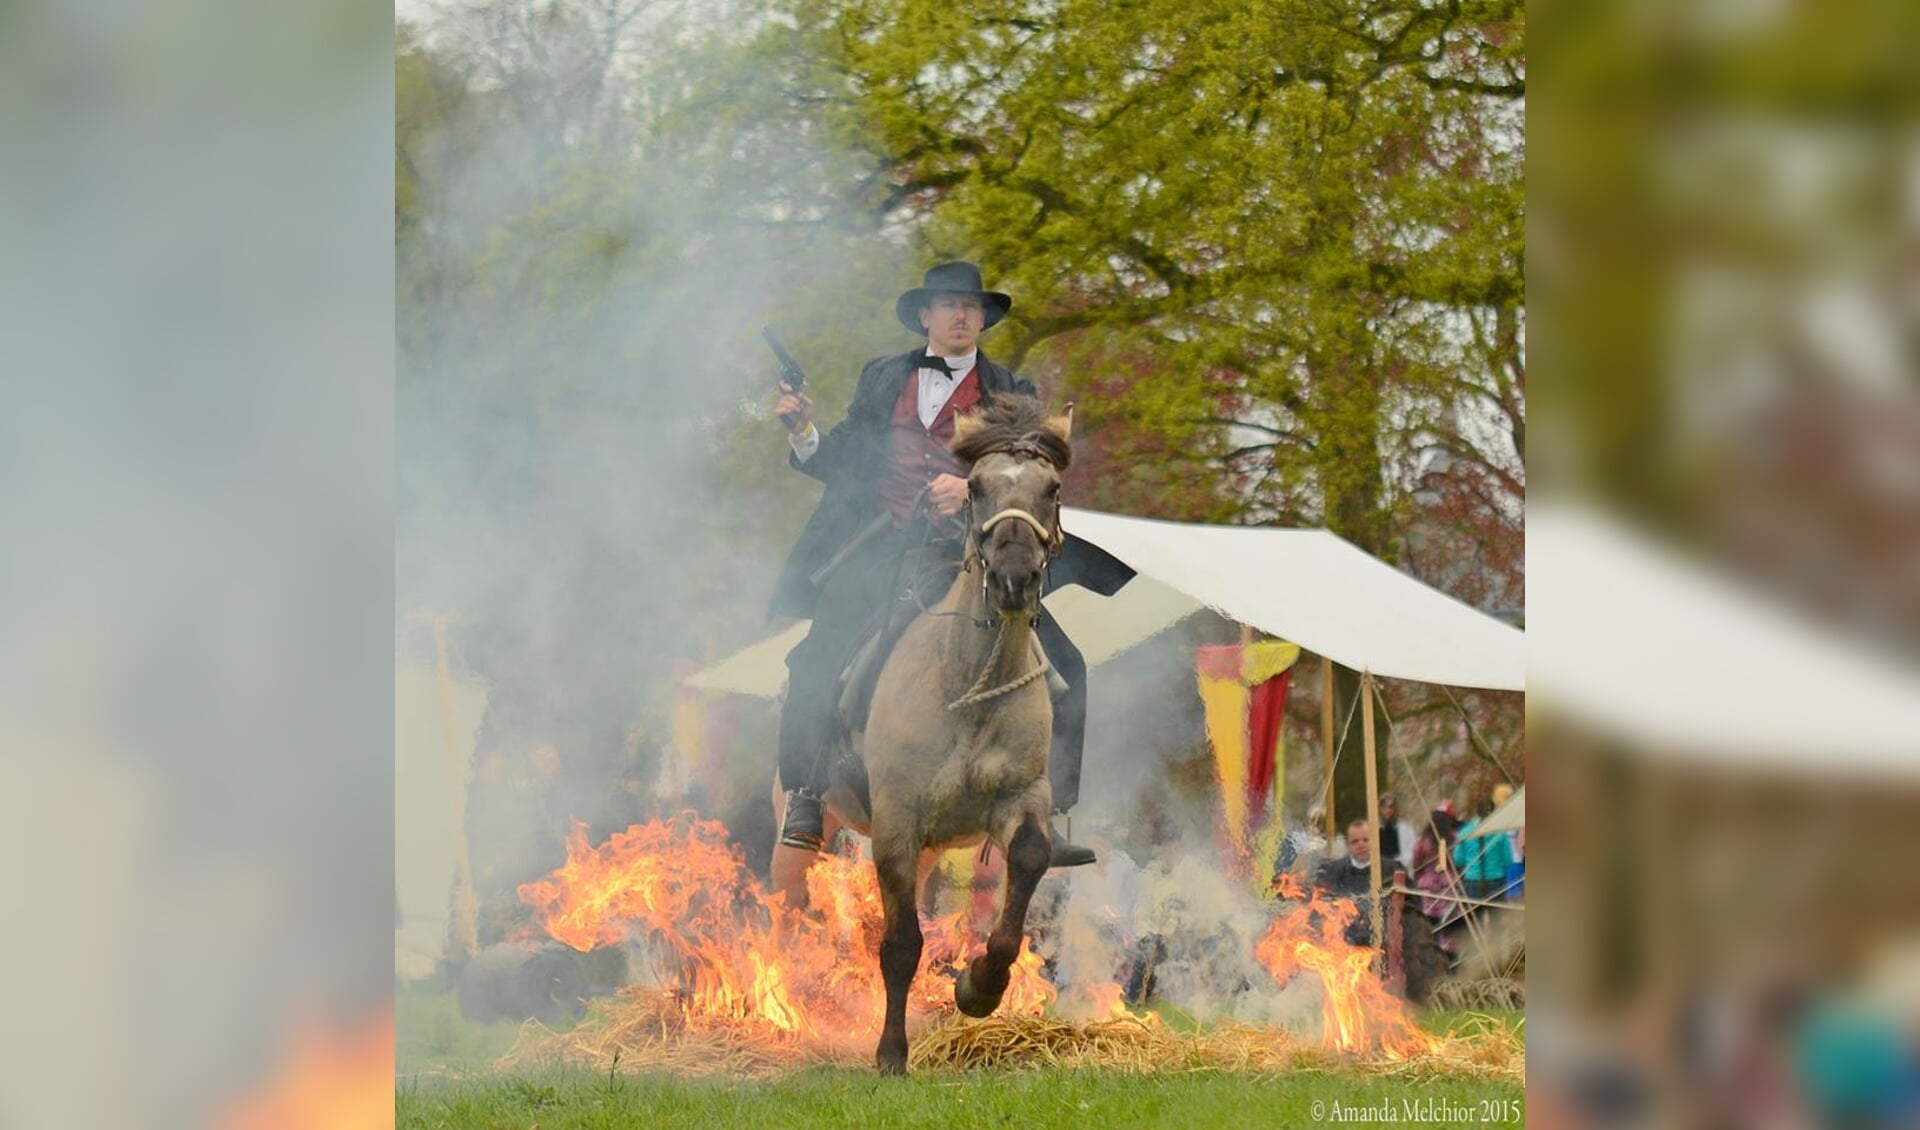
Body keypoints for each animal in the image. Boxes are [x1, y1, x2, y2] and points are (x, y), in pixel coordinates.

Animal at [817, 391, 1075, 1074]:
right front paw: (890, 1054)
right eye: (976, 487)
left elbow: (1027, 866)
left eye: (1051, 488)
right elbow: (901, 944)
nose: (1014, 578)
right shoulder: (896, 824)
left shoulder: (1021, 799)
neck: (965, 688)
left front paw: (978, 988)